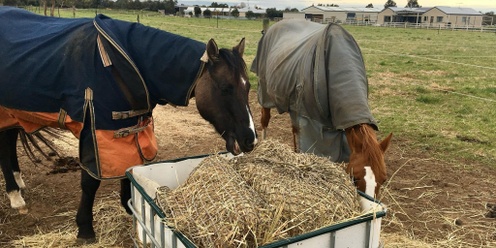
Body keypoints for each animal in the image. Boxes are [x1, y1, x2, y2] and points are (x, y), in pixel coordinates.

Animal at [0, 7, 256, 244]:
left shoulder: (128, 130)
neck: (118, 64)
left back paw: (18, 184)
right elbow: (90, 183)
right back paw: (15, 195)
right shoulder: (95, 133)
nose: (250, 139)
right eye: (225, 88)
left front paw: (131, 207)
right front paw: (85, 228)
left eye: (248, 87)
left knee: (9, 142)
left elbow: (127, 170)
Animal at [252, 18, 392, 207]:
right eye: (354, 177)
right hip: (266, 94)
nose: (371, 208)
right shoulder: (311, 125)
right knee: (265, 121)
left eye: (383, 179)